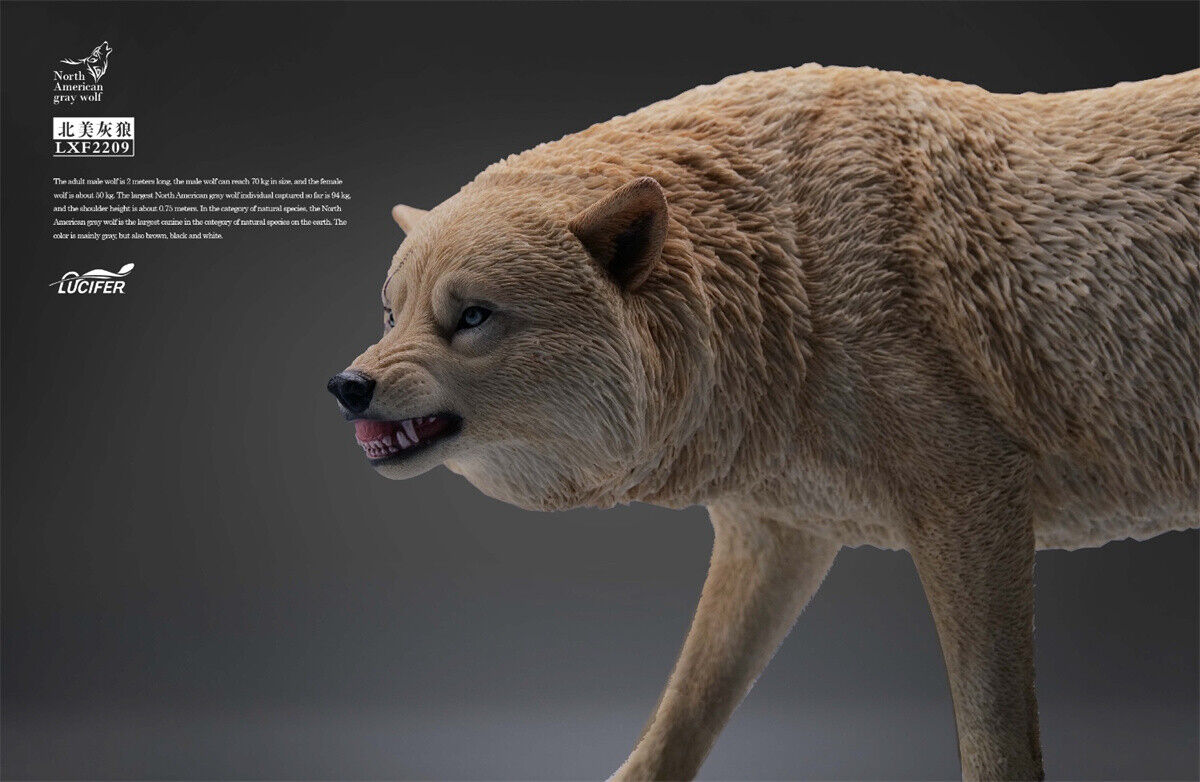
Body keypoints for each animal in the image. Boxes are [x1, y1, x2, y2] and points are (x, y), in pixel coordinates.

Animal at [327, 65, 1199, 780]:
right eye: (392, 312)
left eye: (472, 317)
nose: (347, 386)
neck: (791, 268)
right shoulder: (776, 534)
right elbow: (675, 724)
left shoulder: (974, 500)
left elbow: (996, 743)